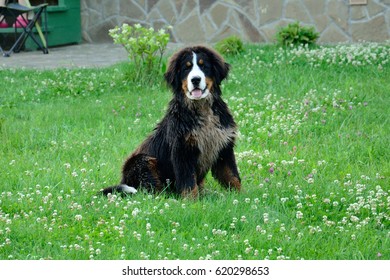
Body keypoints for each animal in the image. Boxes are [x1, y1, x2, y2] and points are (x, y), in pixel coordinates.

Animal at [101, 46, 241, 198]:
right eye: (186, 68)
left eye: (204, 66)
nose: (195, 80)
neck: (202, 109)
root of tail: (124, 180)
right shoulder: (183, 151)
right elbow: (188, 182)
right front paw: (191, 201)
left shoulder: (223, 146)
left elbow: (232, 176)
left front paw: (241, 196)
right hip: (142, 162)